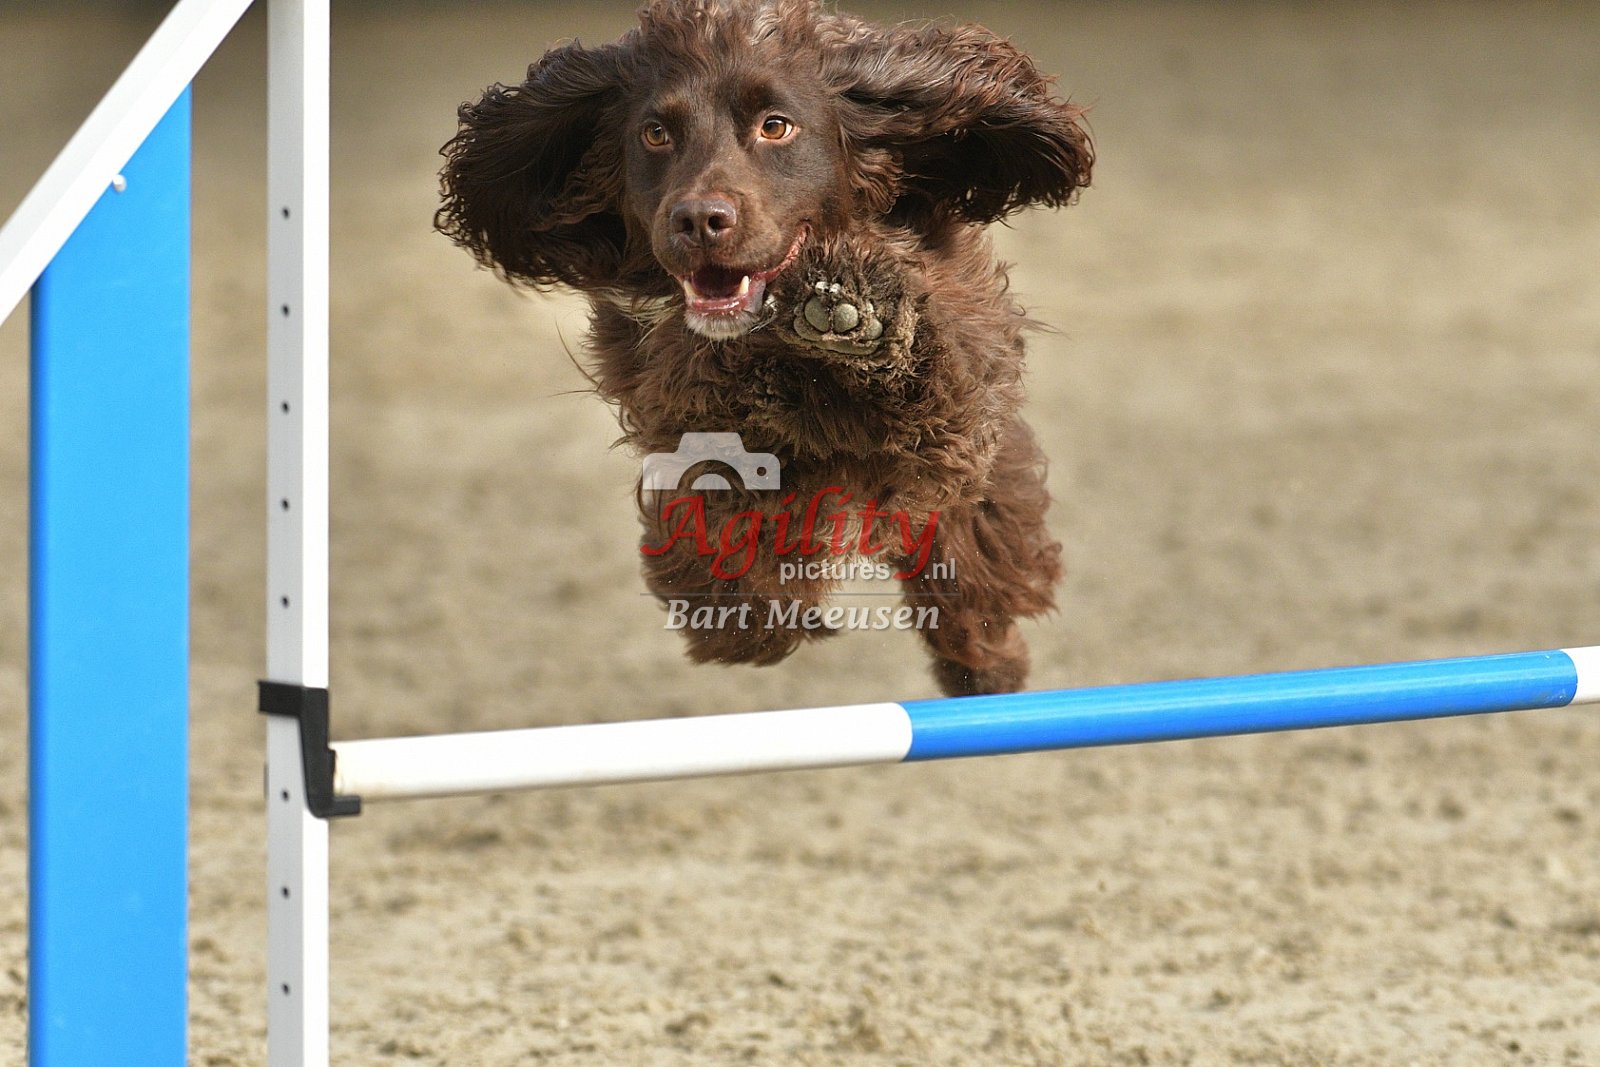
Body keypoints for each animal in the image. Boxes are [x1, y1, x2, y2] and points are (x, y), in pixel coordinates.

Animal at [436, 0, 1092, 695]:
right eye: (655, 134)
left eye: (775, 127)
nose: (699, 220)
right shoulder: (678, 394)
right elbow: (729, 489)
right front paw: (746, 615)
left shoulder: (964, 385)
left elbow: (941, 435)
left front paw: (853, 308)